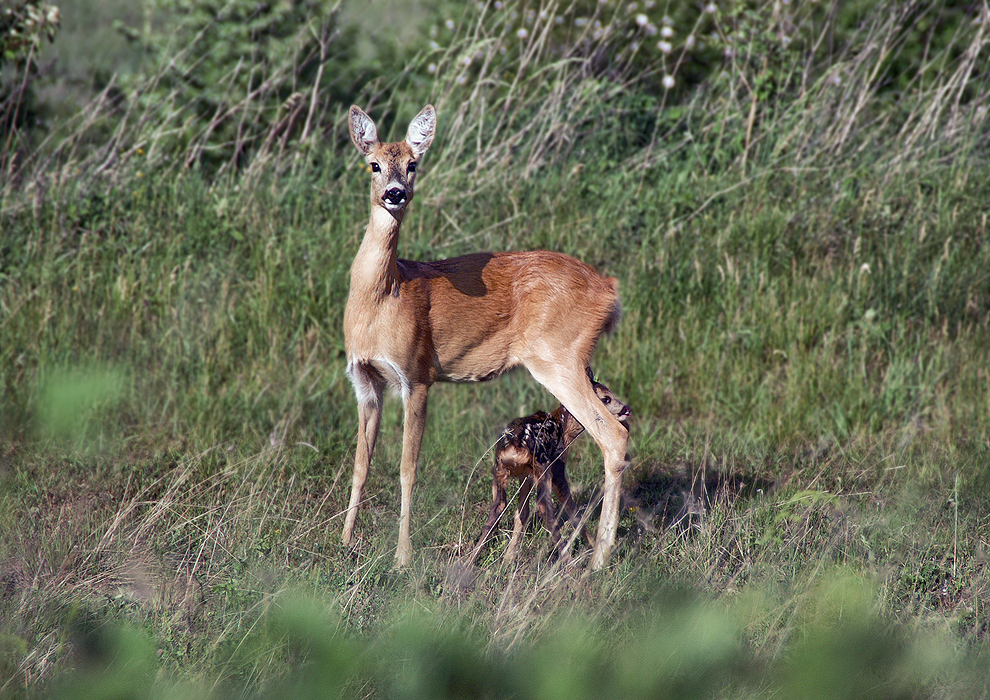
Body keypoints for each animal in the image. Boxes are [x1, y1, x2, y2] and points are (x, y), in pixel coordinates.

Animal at [344, 105, 632, 576]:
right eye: (374, 164)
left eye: (413, 164)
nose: (395, 193)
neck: (384, 298)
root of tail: (610, 291)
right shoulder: (366, 381)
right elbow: (360, 464)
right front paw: (344, 542)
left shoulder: (416, 375)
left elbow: (407, 468)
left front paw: (402, 557)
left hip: (558, 356)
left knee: (614, 436)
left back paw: (599, 559)